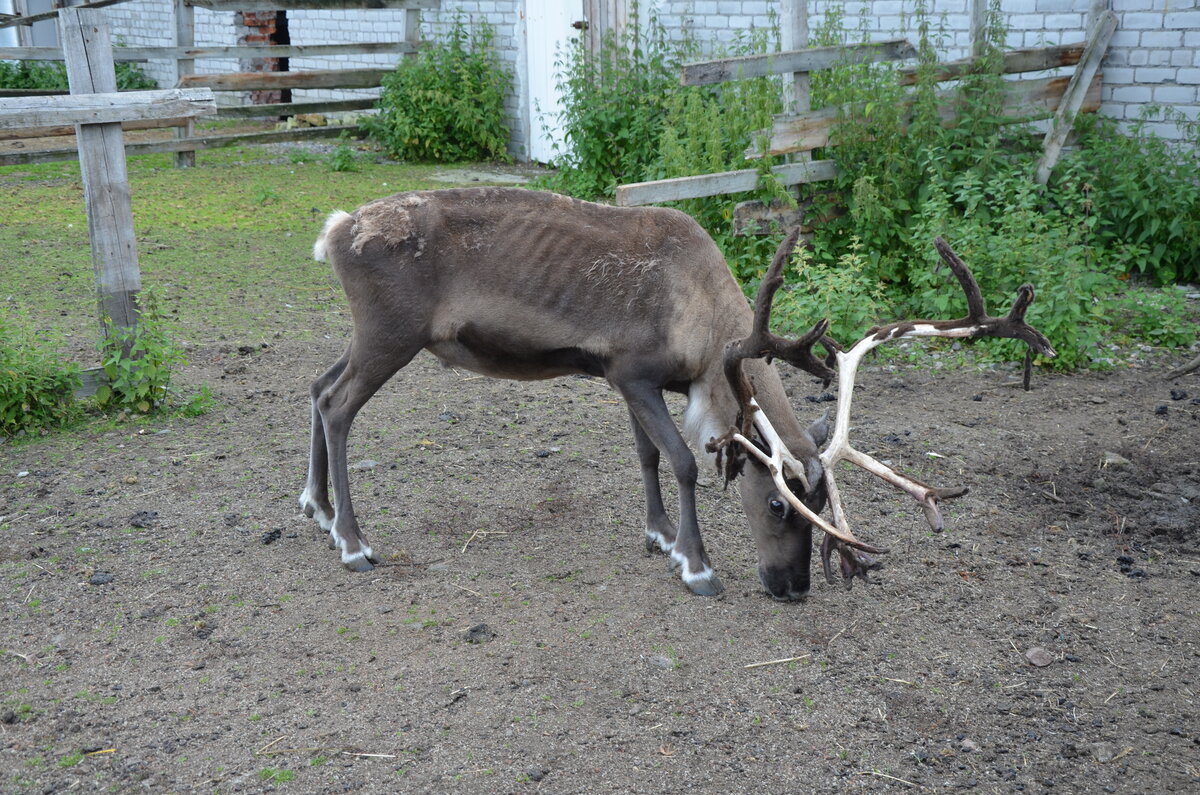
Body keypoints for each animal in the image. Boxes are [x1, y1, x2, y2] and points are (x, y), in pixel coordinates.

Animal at [299, 187, 1055, 599]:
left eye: (821, 505)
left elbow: (647, 455)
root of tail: (332, 231)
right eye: (778, 504)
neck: (709, 322)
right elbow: (686, 460)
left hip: (370, 336)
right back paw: (353, 540)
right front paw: (696, 563)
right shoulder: (634, 371)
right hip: (391, 335)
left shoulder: (629, 379)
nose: (793, 588)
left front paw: (660, 534)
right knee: (338, 404)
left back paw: (316, 506)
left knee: (316, 383)